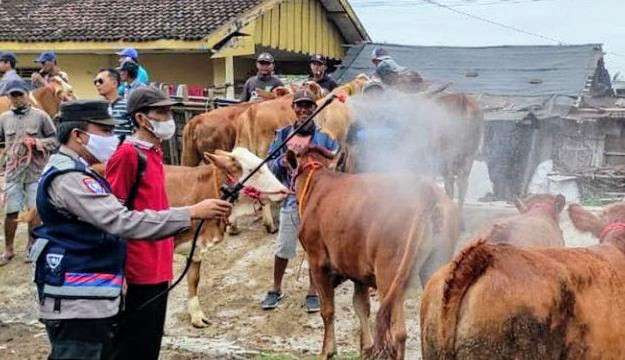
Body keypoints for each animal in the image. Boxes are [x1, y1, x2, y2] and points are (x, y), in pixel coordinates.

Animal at [288, 146, 458, 358]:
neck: (318, 183)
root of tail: (426, 191)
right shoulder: (357, 270)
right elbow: (361, 307)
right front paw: (366, 348)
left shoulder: (317, 260)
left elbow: (327, 310)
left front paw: (327, 351)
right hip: (434, 265)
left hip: (389, 275)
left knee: (398, 332)